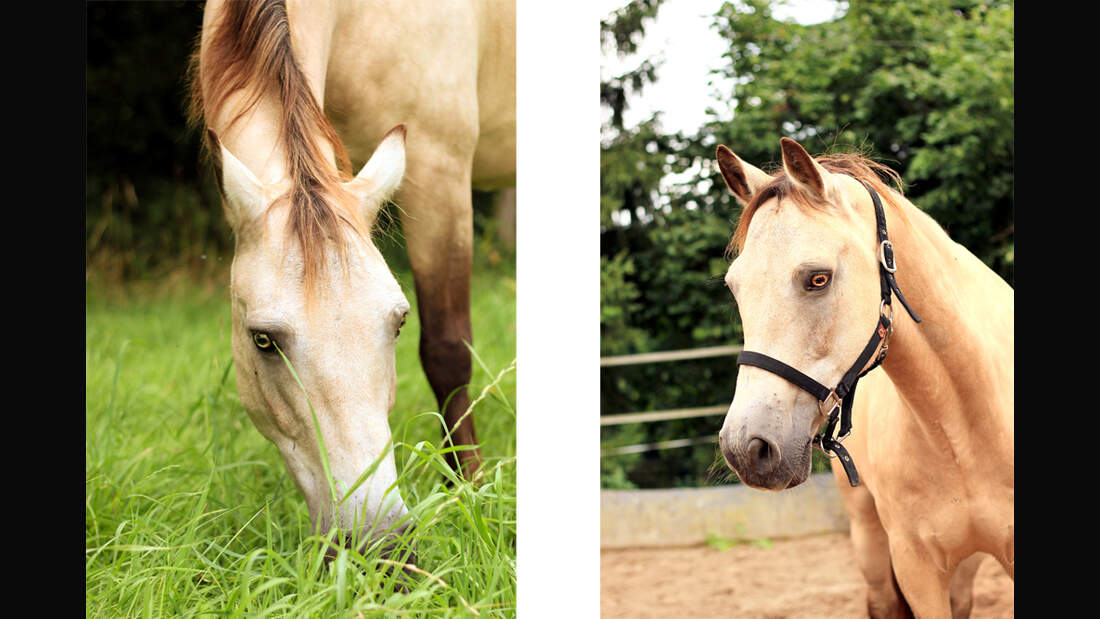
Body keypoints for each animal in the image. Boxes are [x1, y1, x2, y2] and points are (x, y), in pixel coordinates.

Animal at [190, 0, 514, 551]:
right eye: (262, 340)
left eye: (398, 323)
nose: (382, 548)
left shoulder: (439, 168)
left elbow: (447, 351)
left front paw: (469, 491)